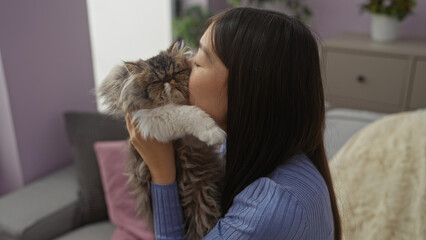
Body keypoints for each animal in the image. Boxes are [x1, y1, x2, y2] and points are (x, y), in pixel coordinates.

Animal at [94, 40, 225, 239]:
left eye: (176, 72)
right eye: (156, 81)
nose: (168, 80)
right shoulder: (151, 120)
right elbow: (189, 113)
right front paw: (214, 131)